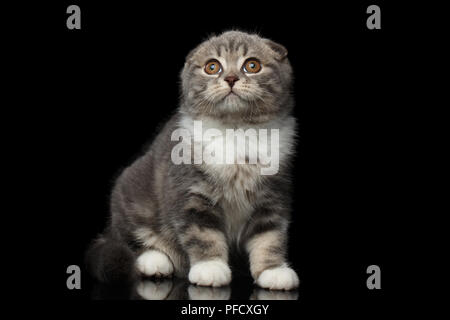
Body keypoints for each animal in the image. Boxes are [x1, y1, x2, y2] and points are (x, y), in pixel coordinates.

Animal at [86, 31, 300, 292]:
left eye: (252, 65)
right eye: (212, 67)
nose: (230, 78)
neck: (236, 130)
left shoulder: (273, 196)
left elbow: (270, 236)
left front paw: (273, 270)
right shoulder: (192, 191)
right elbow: (202, 234)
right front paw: (210, 268)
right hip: (131, 196)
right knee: (131, 238)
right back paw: (154, 261)